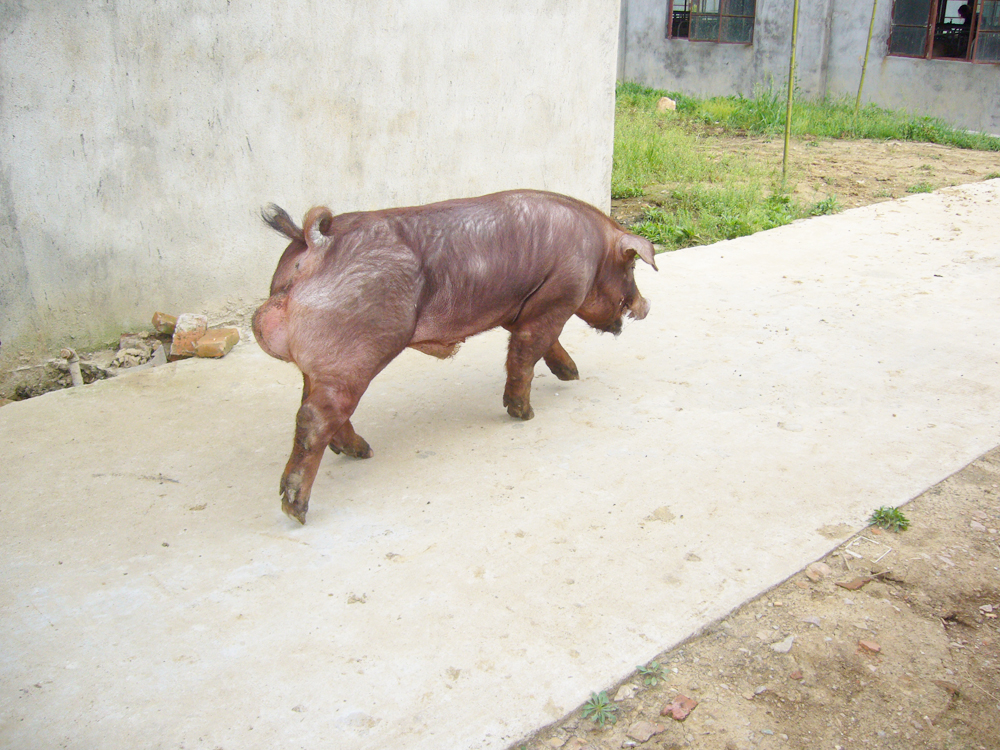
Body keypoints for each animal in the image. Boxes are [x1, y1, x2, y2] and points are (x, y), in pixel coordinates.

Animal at [253, 189, 656, 524]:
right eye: (632, 265)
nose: (646, 307)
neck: (595, 249)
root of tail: (312, 242)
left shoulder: (521, 309)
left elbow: (544, 346)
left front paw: (572, 374)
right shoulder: (556, 298)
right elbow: (526, 355)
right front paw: (524, 414)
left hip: (326, 364)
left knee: (316, 407)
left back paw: (361, 451)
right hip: (354, 353)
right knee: (313, 418)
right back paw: (298, 508)